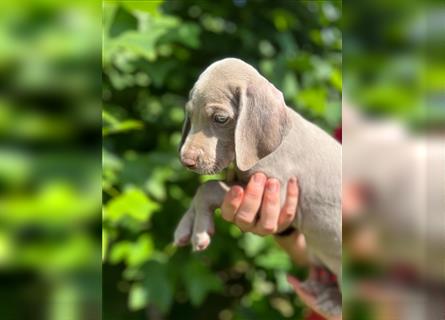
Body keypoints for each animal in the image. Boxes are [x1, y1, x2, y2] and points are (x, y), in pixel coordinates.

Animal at [173, 57, 340, 316]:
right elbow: (203, 190)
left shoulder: (276, 191)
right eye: (190, 115)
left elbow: (209, 188)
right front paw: (184, 228)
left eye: (220, 119)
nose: (186, 161)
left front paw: (199, 233)